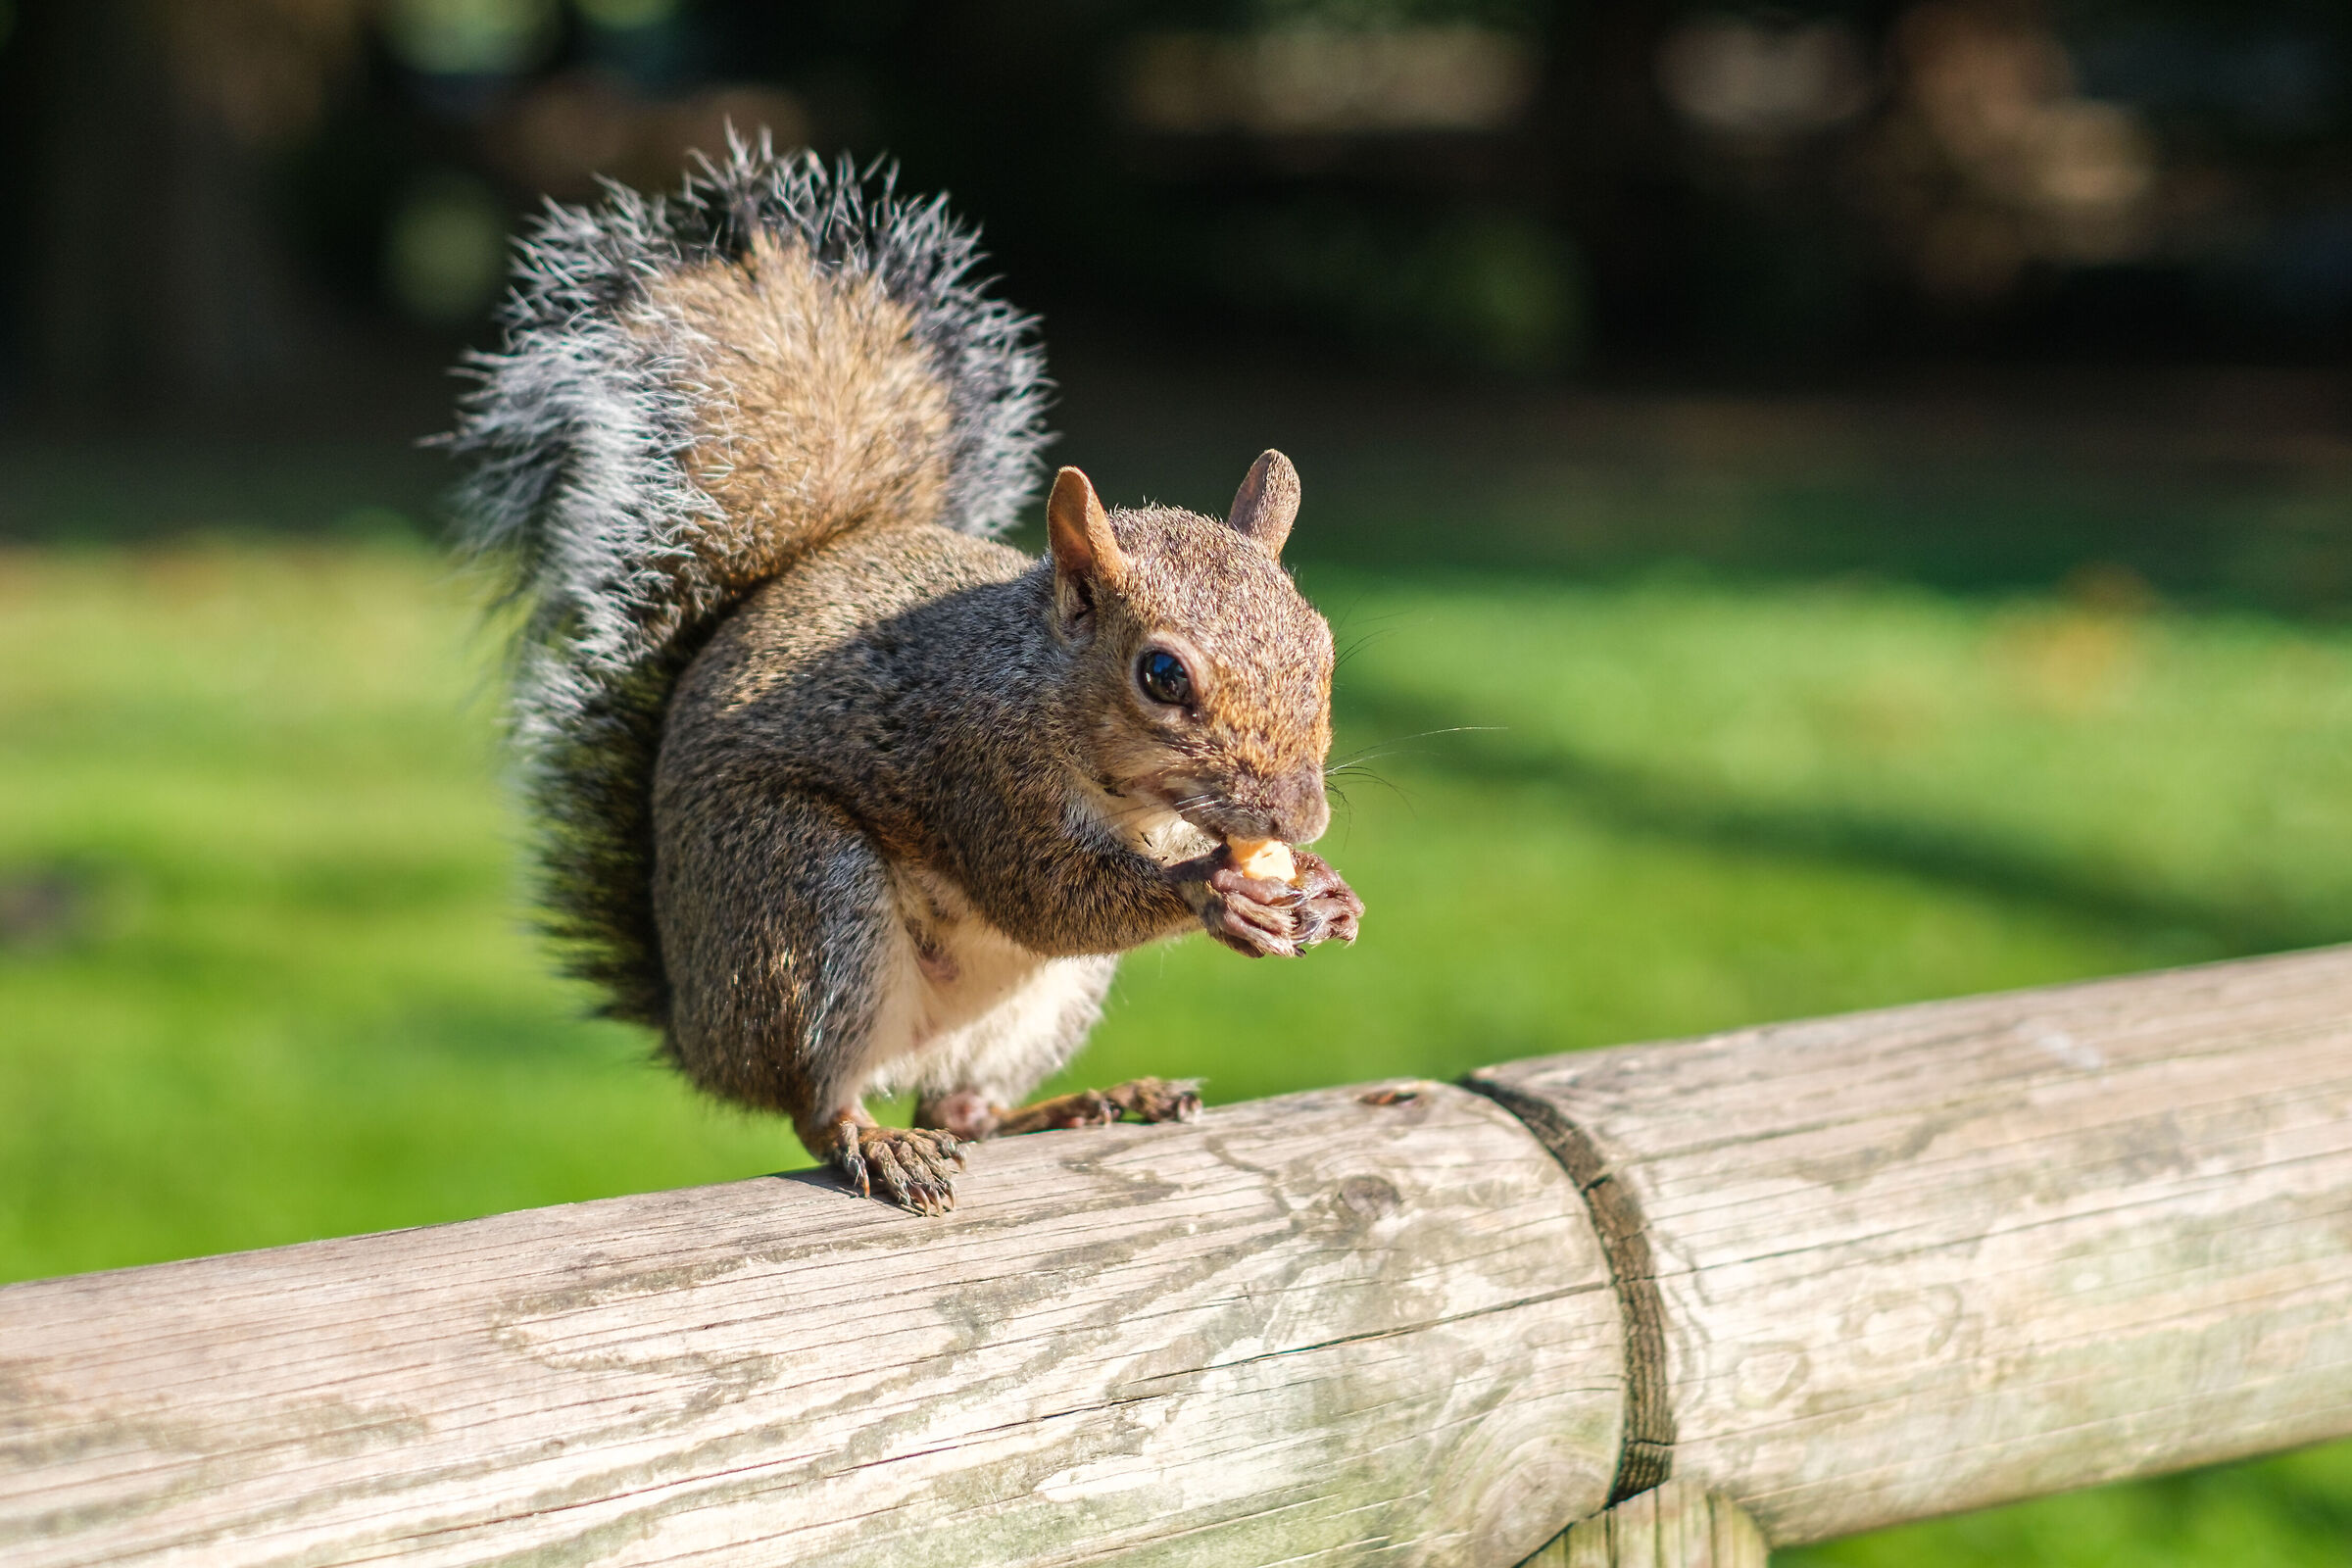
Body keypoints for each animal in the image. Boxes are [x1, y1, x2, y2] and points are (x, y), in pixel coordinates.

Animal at [449, 143, 1362, 1214]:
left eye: (1323, 644)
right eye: (1163, 674)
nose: (1302, 819)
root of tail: (697, 1025)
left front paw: (1325, 892)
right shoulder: (979, 774)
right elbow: (1047, 897)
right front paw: (1214, 891)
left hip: (1037, 1006)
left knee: (963, 1106)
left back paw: (1094, 1101)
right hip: (803, 900)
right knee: (818, 1100)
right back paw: (874, 1138)